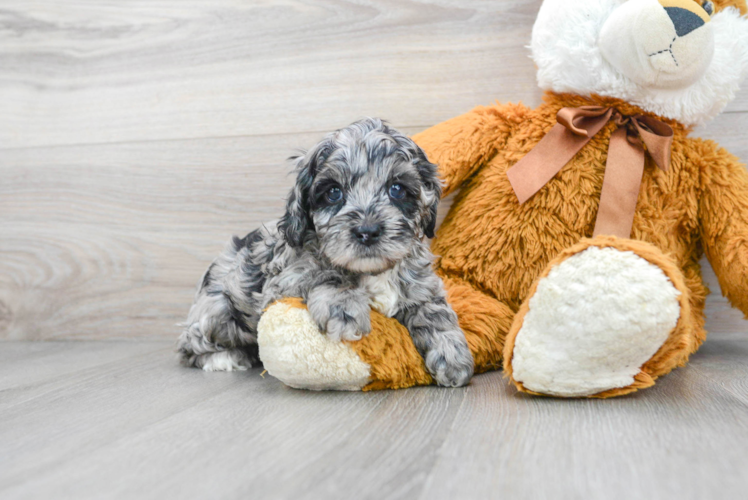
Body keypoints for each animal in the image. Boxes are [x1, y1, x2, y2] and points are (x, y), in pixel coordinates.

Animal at [175, 117, 474, 386]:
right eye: (333, 192)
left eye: (397, 189)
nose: (367, 231)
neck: (371, 272)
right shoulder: (284, 281)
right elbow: (324, 276)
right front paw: (344, 309)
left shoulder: (421, 285)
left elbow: (435, 311)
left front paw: (453, 356)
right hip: (219, 313)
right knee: (189, 345)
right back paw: (224, 359)